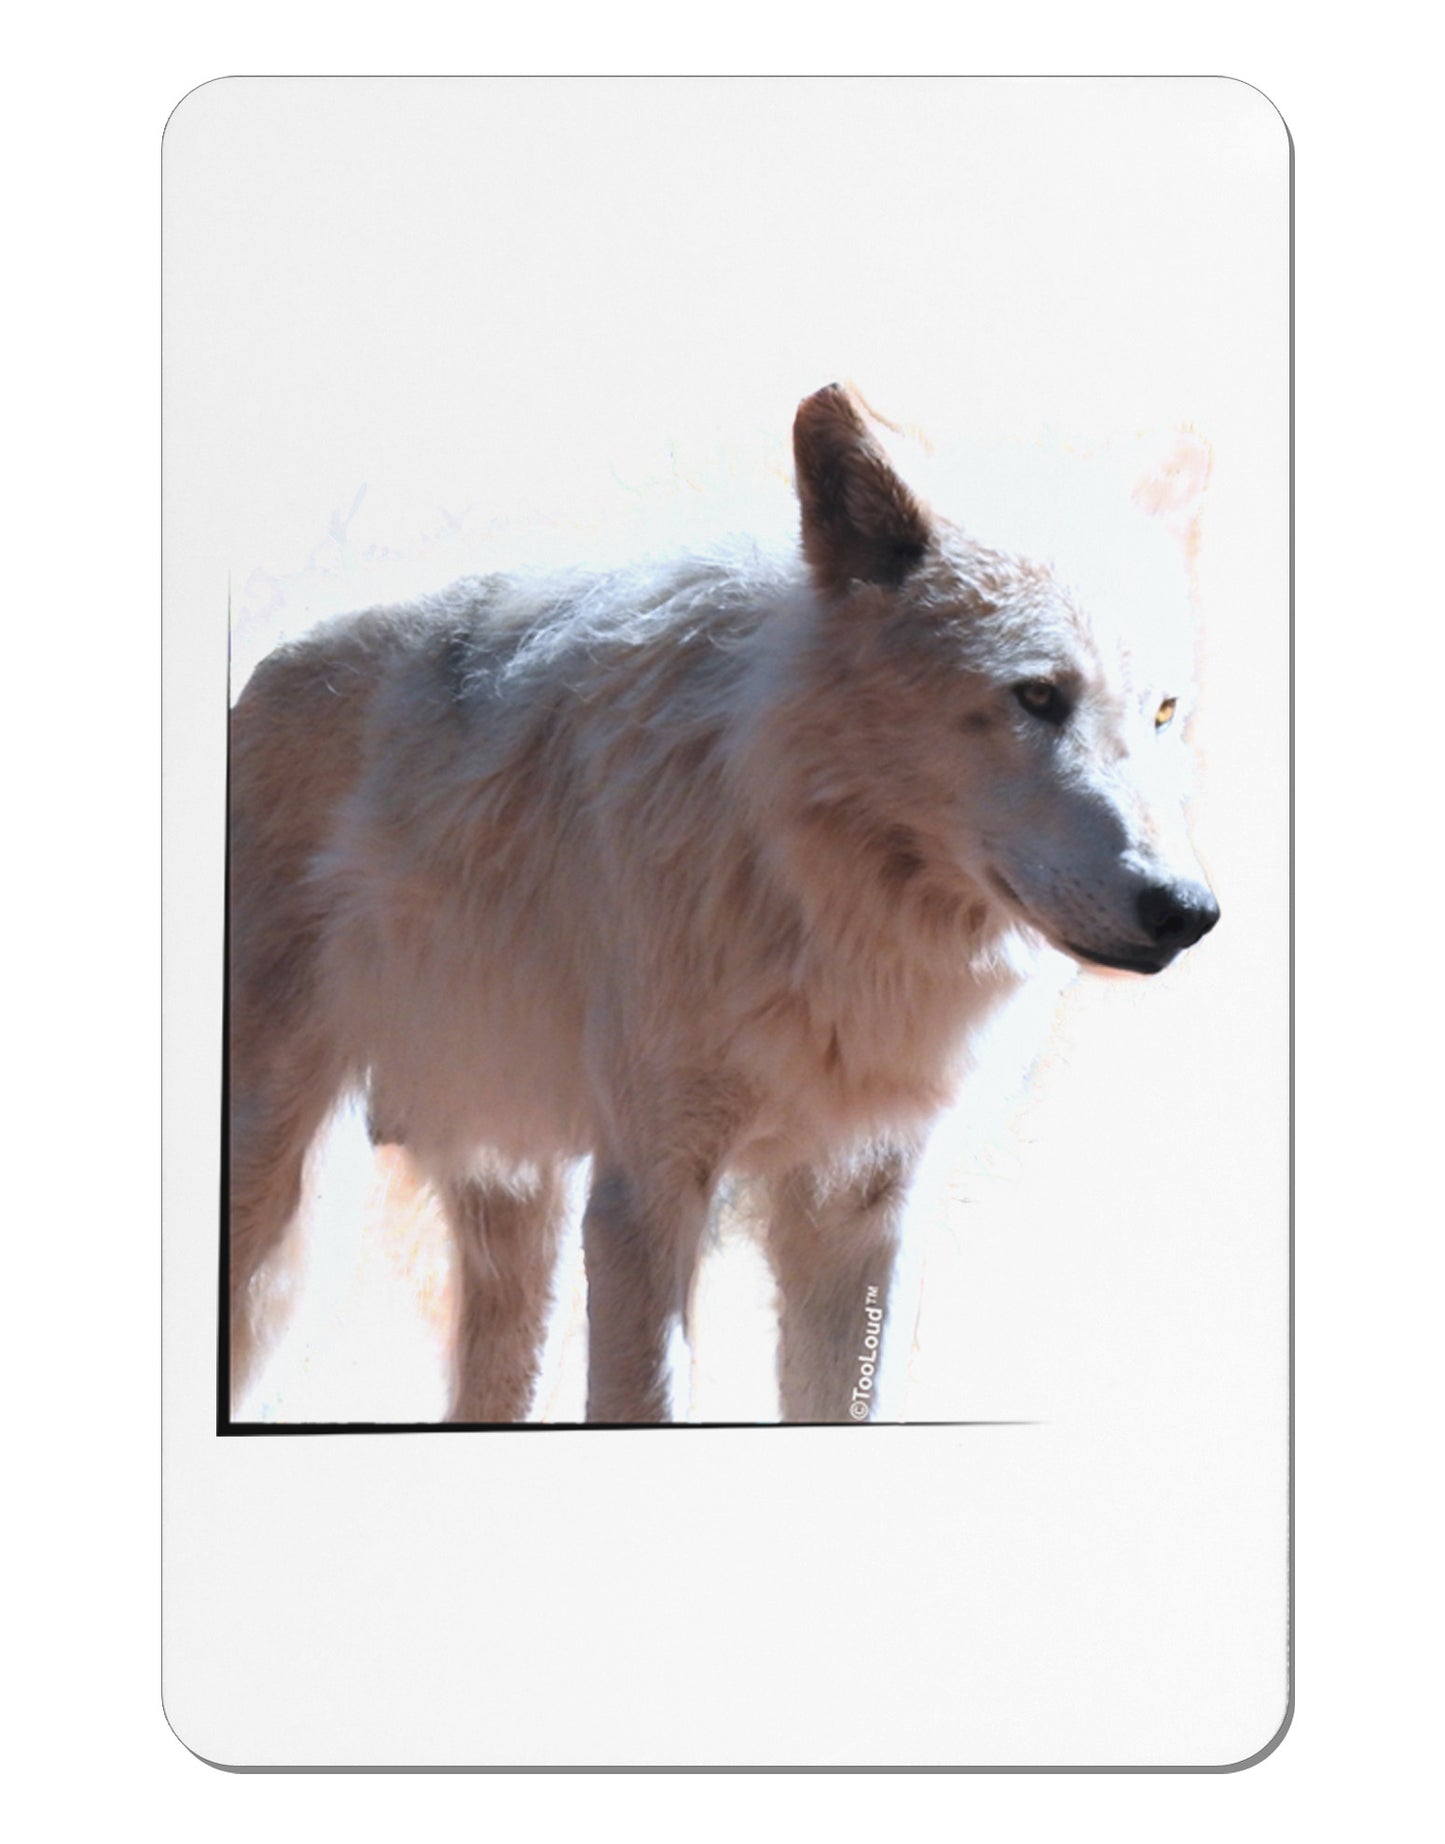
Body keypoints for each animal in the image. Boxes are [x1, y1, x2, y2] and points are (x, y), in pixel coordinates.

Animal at [227, 384, 1219, 1425]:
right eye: (1035, 696)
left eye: (1162, 712)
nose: (1187, 911)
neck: (826, 904)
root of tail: (270, 662)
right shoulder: (647, 1188)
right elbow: (647, 1396)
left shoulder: (864, 1205)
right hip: (274, 1194)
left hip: (520, 1191)